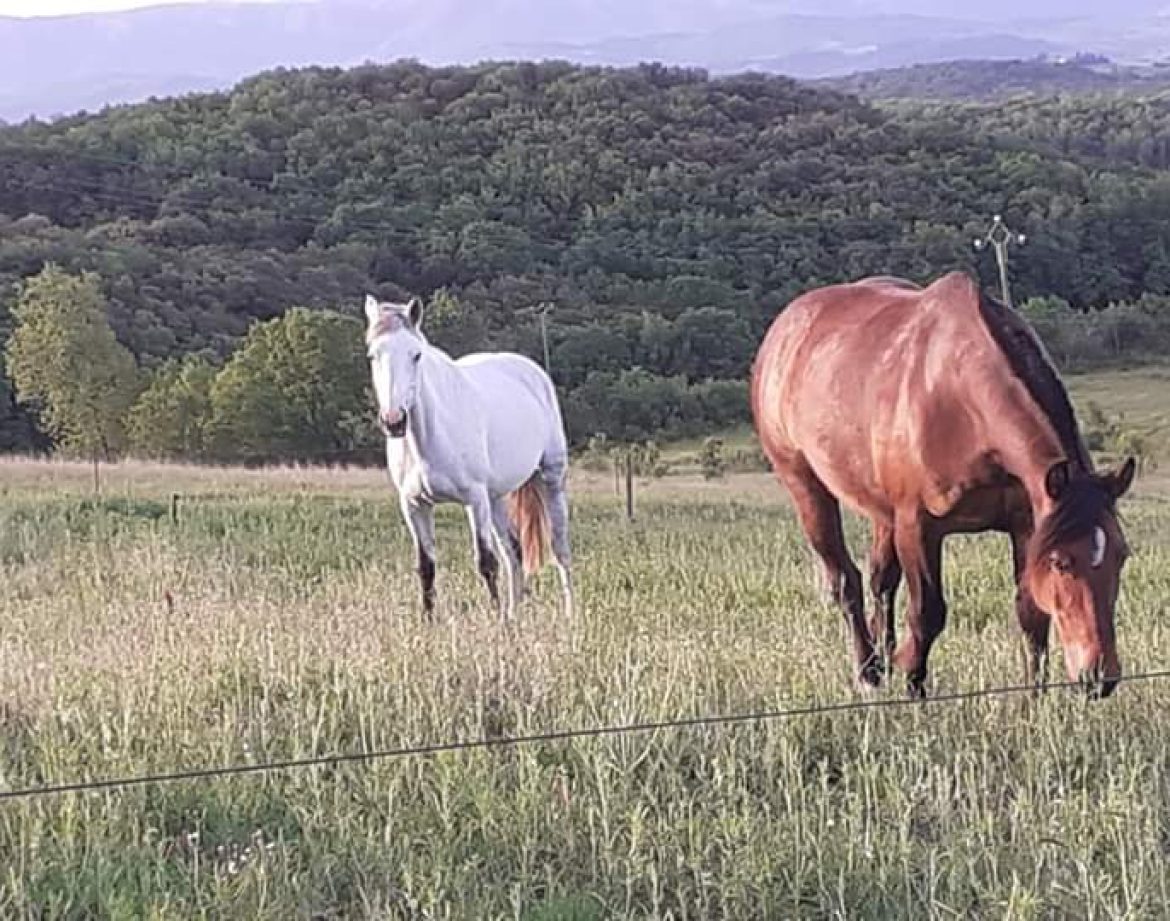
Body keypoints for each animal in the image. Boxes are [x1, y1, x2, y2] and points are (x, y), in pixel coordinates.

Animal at [363, 294, 573, 620]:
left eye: (416, 355)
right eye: (373, 355)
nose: (394, 421)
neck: (428, 437)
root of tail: (532, 371)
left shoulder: (474, 499)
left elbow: (486, 563)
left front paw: (495, 619)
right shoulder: (414, 505)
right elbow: (426, 567)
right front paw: (428, 621)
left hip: (550, 478)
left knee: (559, 547)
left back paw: (569, 615)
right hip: (496, 497)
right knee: (514, 552)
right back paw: (514, 615)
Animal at [751, 271, 1136, 699]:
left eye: (1121, 555)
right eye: (1061, 562)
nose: (1099, 677)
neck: (958, 398)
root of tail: (785, 326)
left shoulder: (1027, 524)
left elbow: (1030, 614)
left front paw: (1033, 700)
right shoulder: (919, 526)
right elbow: (927, 613)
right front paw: (913, 687)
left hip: (883, 512)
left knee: (881, 581)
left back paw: (883, 661)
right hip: (806, 486)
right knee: (845, 581)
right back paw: (868, 673)